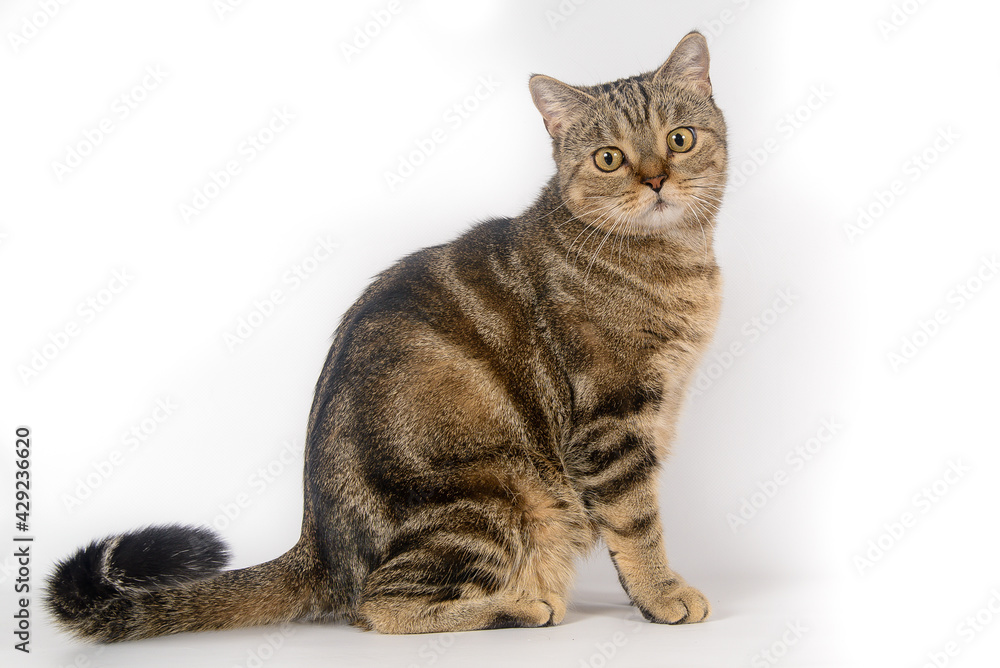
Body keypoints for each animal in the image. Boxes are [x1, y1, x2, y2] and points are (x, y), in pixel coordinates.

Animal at [45, 31, 728, 640]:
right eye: (609, 157)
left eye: (680, 140)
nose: (656, 179)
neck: (671, 261)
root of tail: (316, 546)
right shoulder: (611, 425)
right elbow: (638, 526)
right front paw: (663, 594)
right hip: (493, 495)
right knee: (381, 607)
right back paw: (520, 606)